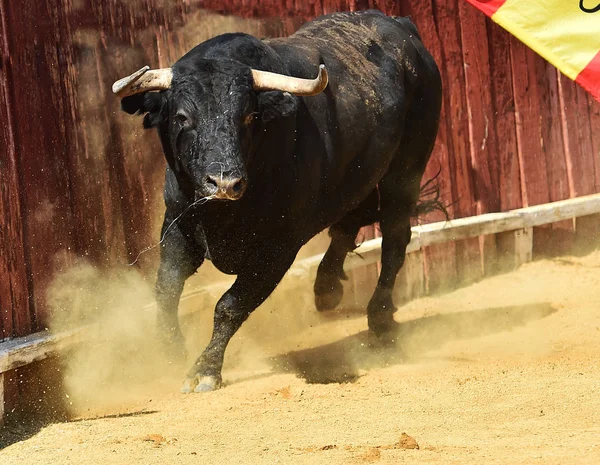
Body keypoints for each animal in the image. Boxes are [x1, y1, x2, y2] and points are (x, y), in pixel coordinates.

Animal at [113, 10, 440, 392]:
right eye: (182, 117)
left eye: (249, 116)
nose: (224, 183)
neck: (223, 215)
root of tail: (402, 26)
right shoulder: (178, 227)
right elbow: (166, 289)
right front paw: (170, 349)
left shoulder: (278, 249)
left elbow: (230, 304)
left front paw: (204, 370)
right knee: (348, 221)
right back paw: (326, 288)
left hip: (405, 171)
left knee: (394, 239)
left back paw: (380, 320)